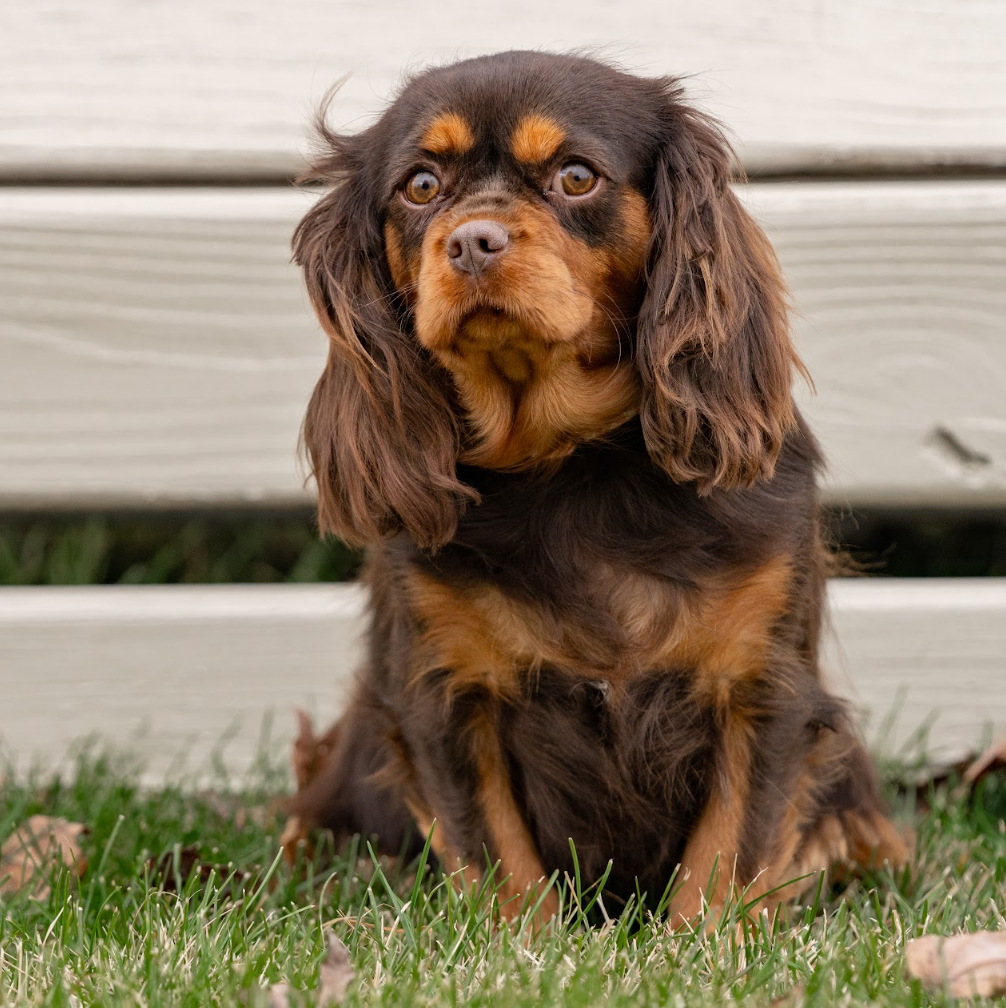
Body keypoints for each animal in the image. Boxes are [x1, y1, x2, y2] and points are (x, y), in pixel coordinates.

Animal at [282, 51, 907, 923]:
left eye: (576, 177)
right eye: (420, 186)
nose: (472, 241)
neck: (567, 465)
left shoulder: (764, 689)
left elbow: (729, 854)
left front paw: (700, 944)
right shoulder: (444, 698)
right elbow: (498, 855)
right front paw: (524, 944)